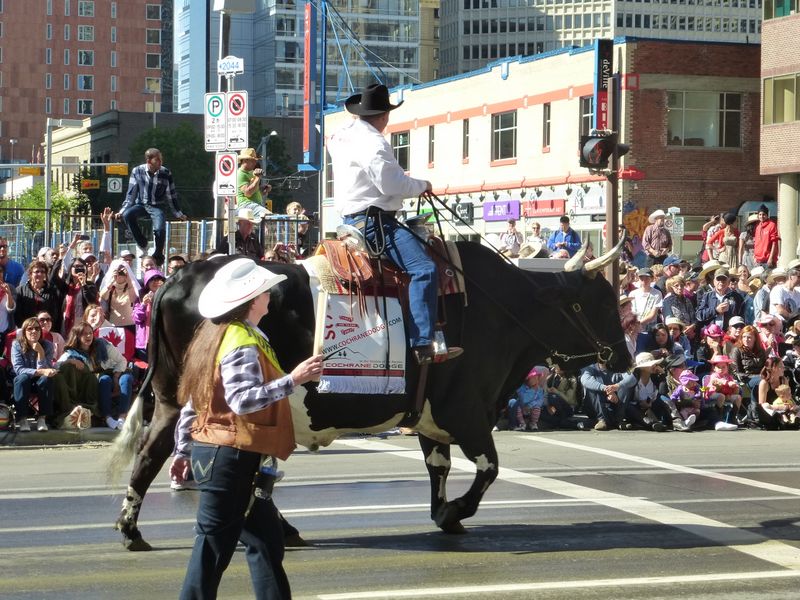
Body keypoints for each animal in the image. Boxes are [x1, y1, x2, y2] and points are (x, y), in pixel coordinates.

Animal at [109, 238, 630, 550]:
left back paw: (135, 529)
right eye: (605, 303)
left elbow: (439, 467)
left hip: (172, 397)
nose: (622, 358)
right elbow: (489, 467)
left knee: (154, 451)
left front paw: (444, 513)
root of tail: (180, 278)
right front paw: (457, 511)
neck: (500, 309)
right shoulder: (465, 411)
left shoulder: (431, 416)